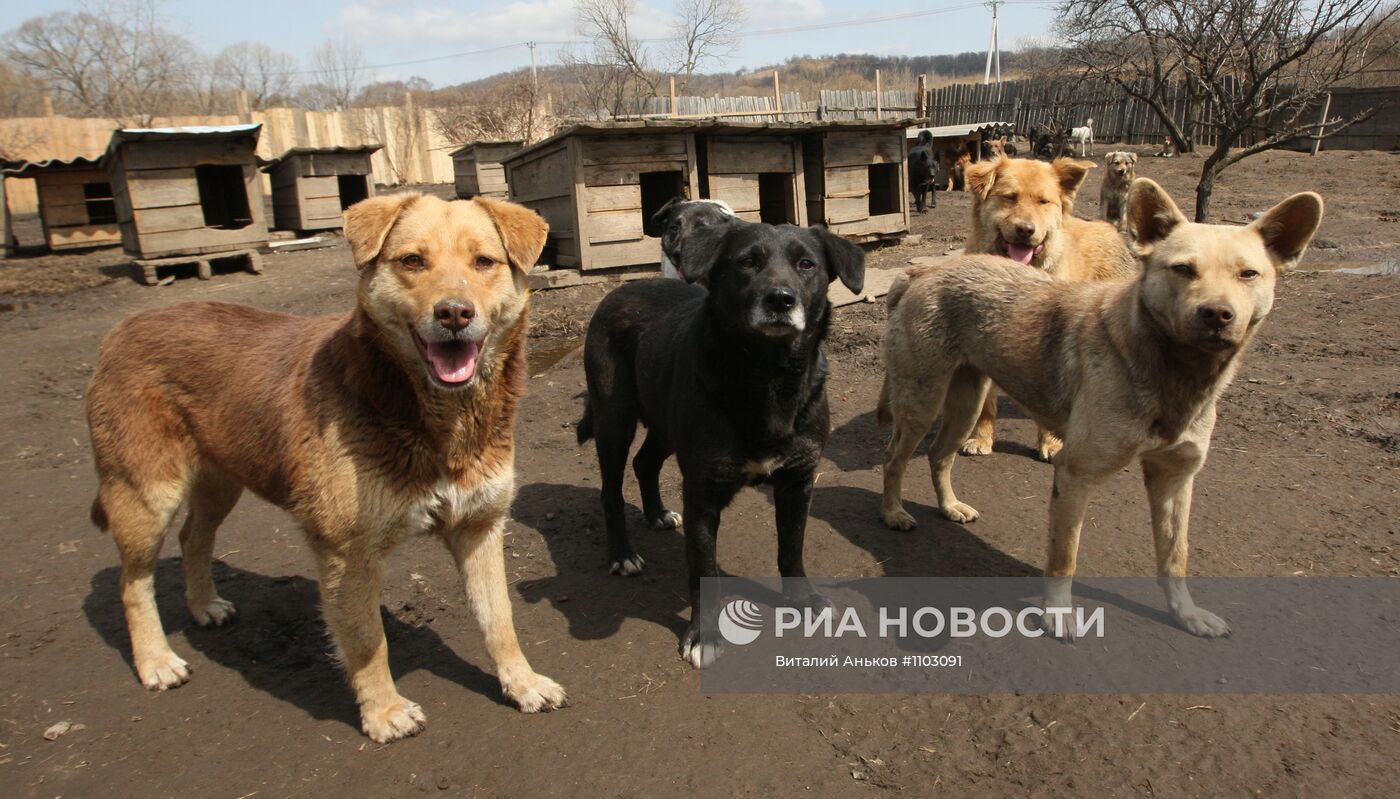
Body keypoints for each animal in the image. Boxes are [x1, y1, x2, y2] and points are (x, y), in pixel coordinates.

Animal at [86, 191, 568, 744]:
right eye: (412, 261)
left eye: (484, 262)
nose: (453, 313)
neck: (439, 421)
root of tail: (121, 329)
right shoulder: (347, 550)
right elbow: (366, 641)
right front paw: (383, 712)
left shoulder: (480, 527)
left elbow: (499, 620)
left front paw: (522, 682)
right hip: (147, 495)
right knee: (133, 583)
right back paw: (155, 660)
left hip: (220, 480)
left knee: (193, 538)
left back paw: (204, 605)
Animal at [571, 216, 856, 668]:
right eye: (747, 262)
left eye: (806, 264)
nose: (780, 299)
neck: (767, 378)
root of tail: (619, 289)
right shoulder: (703, 492)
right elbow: (702, 569)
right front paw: (703, 636)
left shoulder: (798, 482)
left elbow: (791, 548)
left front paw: (803, 600)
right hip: (614, 419)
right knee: (610, 490)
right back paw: (622, 555)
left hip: (663, 423)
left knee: (645, 463)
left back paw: (656, 514)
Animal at [963, 154, 1136, 461]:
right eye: (1009, 197)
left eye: (1044, 202)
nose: (1025, 230)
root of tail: (1109, 228)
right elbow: (985, 404)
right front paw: (980, 438)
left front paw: (1052, 443)